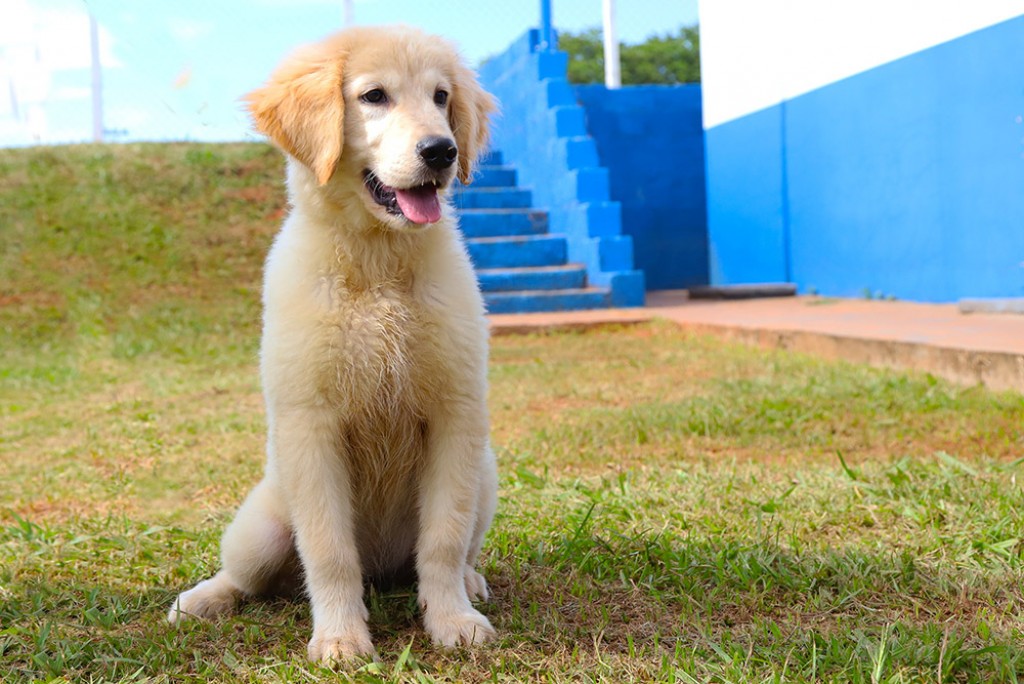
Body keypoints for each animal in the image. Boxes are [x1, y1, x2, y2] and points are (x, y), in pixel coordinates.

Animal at [167, 25, 499, 663]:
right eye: (374, 96)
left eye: (442, 97)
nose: (442, 152)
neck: (377, 265)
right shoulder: (310, 425)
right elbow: (328, 551)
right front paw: (342, 638)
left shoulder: (456, 415)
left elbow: (443, 541)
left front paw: (452, 620)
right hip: (261, 525)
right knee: (246, 575)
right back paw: (201, 599)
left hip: (486, 474)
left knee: (457, 548)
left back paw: (469, 584)